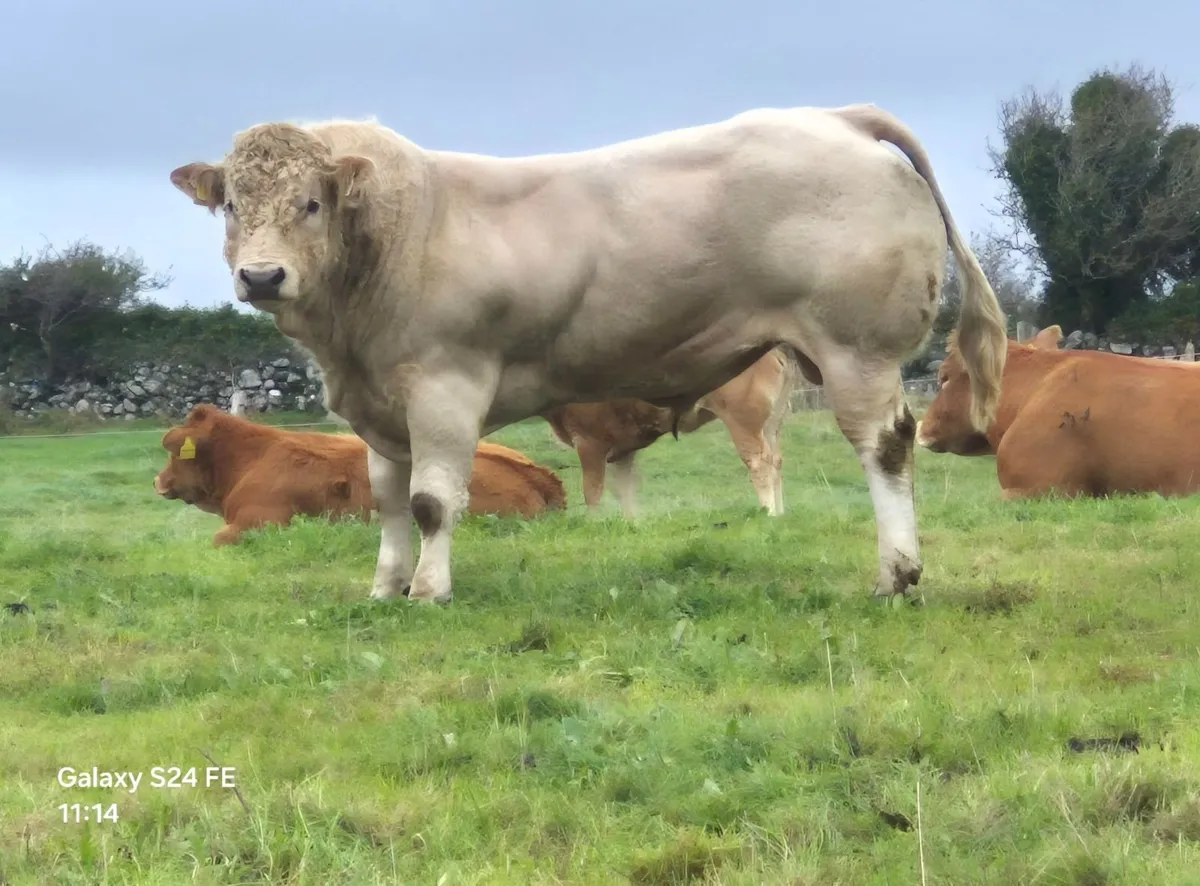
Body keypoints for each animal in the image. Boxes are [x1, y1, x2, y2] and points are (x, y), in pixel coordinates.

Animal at [543, 346, 800, 517]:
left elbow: (592, 492)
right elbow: (624, 490)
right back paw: (780, 514)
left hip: (743, 421)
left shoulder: (589, 443)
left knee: (759, 463)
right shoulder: (622, 450)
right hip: (771, 426)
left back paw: (767, 513)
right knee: (776, 461)